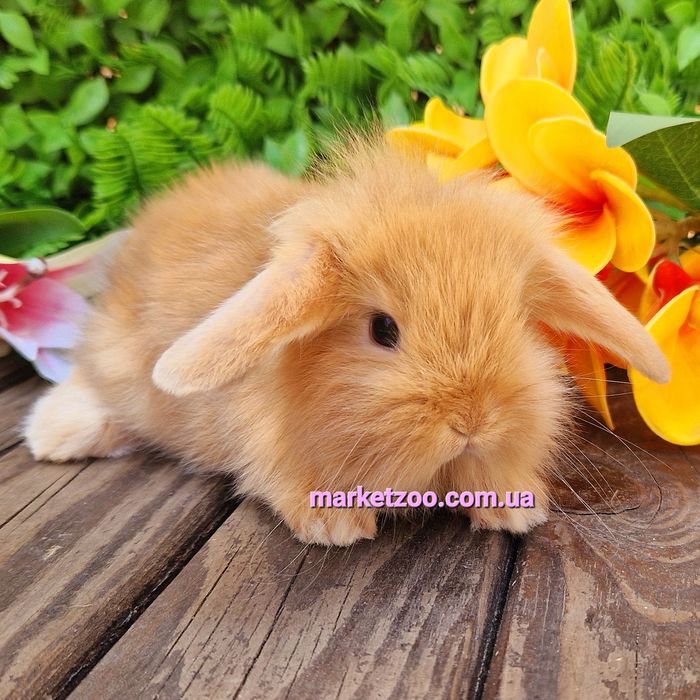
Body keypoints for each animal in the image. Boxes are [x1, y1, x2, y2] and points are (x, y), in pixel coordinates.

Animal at [23, 137, 669, 546]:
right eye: (383, 329)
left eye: (515, 318)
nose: (472, 421)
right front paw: (337, 529)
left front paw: (517, 510)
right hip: (116, 358)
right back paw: (55, 435)